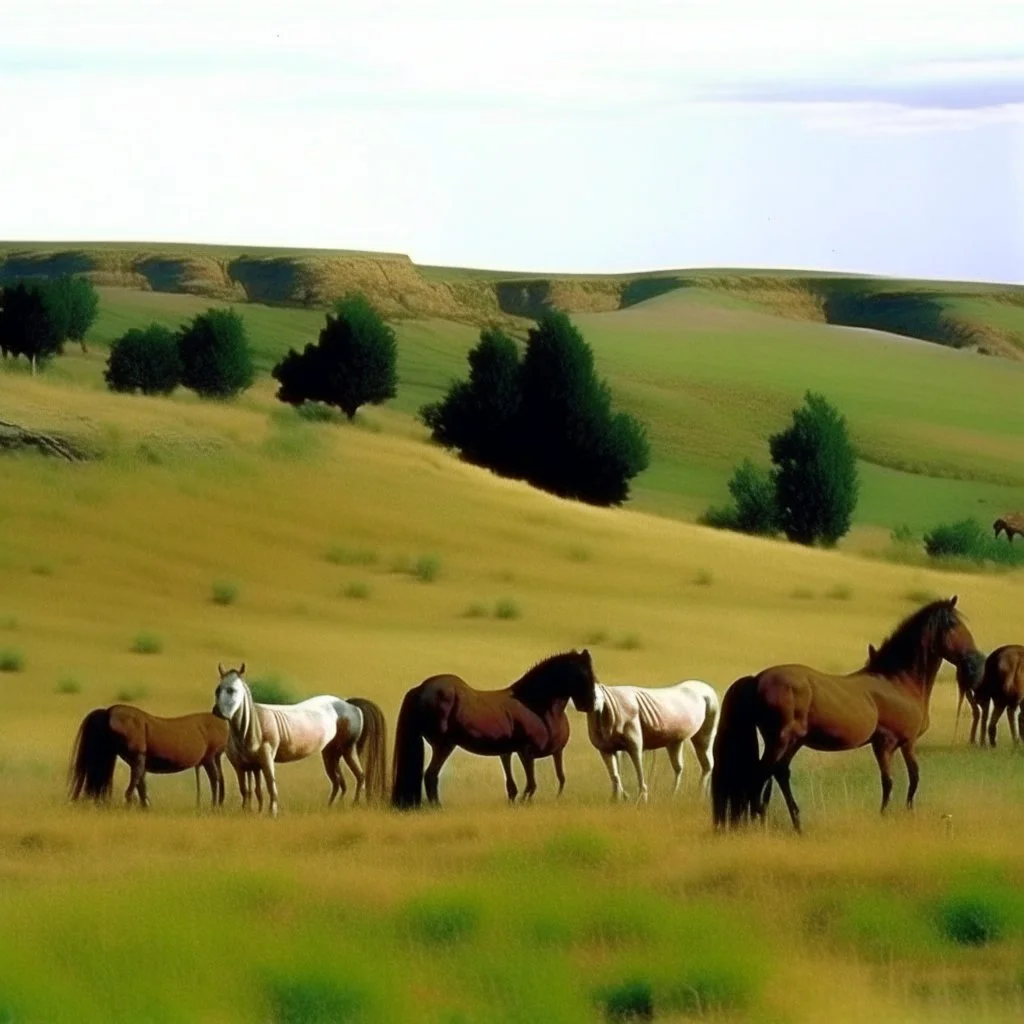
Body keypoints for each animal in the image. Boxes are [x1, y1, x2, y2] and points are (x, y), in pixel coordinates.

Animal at [67, 704, 228, 806]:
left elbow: (137, 786)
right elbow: (139, 786)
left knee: (216, 779)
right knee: (216, 779)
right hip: (210, 759)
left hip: (209, 759)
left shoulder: (138, 760)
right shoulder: (138, 761)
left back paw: (215, 805)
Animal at [211, 663, 387, 815]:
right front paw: (250, 812)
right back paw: (331, 807)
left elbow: (269, 785)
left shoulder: (265, 761)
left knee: (359, 776)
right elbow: (249, 790)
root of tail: (350, 705)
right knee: (339, 782)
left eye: (232, 690)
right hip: (331, 753)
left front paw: (271, 812)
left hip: (348, 750)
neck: (250, 728)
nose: (217, 711)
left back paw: (353, 805)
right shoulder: (244, 766)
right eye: (218, 690)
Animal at [391, 651, 598, 811]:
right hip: (444, 746)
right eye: (583, 675)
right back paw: (438, 808)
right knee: (430, 775)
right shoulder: (526, 751)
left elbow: (531, 783)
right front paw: (523, 803)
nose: (590, 705)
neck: (533, 705)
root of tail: (419, 689)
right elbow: (531, 785)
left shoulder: (513, 752)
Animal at [585, 675, 720, 802]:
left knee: (707, 763)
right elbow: (615, 774)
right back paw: (675, 795)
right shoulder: (606, 748)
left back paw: (699, 795)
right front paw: (617, 799)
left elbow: (638, 768)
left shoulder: (634, 744)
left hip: (706, 731)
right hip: (675, 740)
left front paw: (641, 799)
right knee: (680, 766)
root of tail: (708, 688)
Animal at [712, 598, 983, 831]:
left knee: (778, 773)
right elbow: (893, 781)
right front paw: (886, 817)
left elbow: (910, 779)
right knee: (759, 776)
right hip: (780, 740)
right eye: (953, 624)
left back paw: (797, 825)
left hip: (792, 742)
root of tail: (756, 679)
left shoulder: (902, 744)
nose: (976, 663)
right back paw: (760, 824)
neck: (897, 682)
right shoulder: (889, 743)